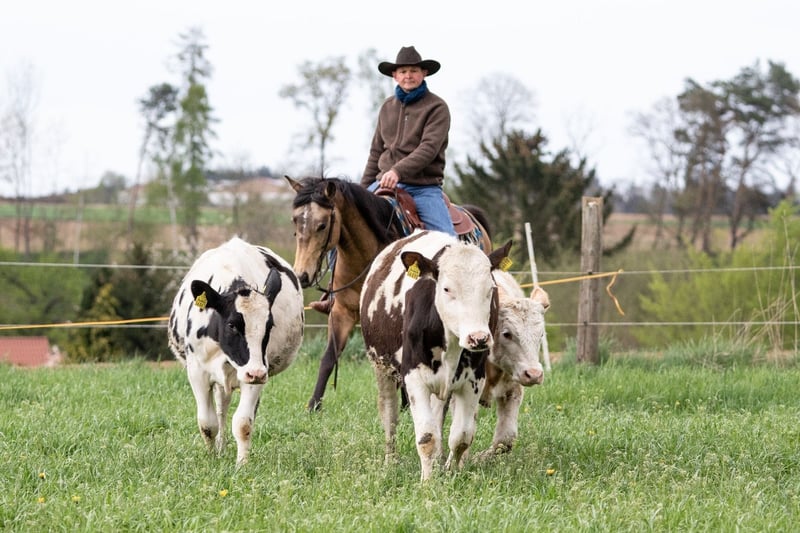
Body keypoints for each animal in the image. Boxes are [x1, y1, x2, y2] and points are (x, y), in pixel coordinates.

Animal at [167, 237, 305, 466]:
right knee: (221, 410)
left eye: (269, 326)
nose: (256, 372)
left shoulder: (256, 373)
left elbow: (243, 423)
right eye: (232, 325)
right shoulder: (197, 373)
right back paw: (221, 448)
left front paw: (242, 464)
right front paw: (211, 458)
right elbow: (207, 423)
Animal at [285, 176, 492, 411]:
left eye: (322, 225)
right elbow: (330, 357)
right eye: (295, 221)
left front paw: (406, 403)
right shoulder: (342, 311)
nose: (302, 275)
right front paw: (314, 405)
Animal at [359, 230, 511, 481]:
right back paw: (391, 461)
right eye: (447, 289)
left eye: (490, 289)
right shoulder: (413, 378)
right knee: (389, 415)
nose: (478, 338)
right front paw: (428, 482)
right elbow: (427, 437)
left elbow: (461, 436)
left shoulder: (474, 380)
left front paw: (452, 473)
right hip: (381, 368)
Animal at [477, 270, 550, 458]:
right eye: (507, 334)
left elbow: (505, 439)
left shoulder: (513, 389)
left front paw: (481, 457)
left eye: (541, 335)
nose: (534, 374)